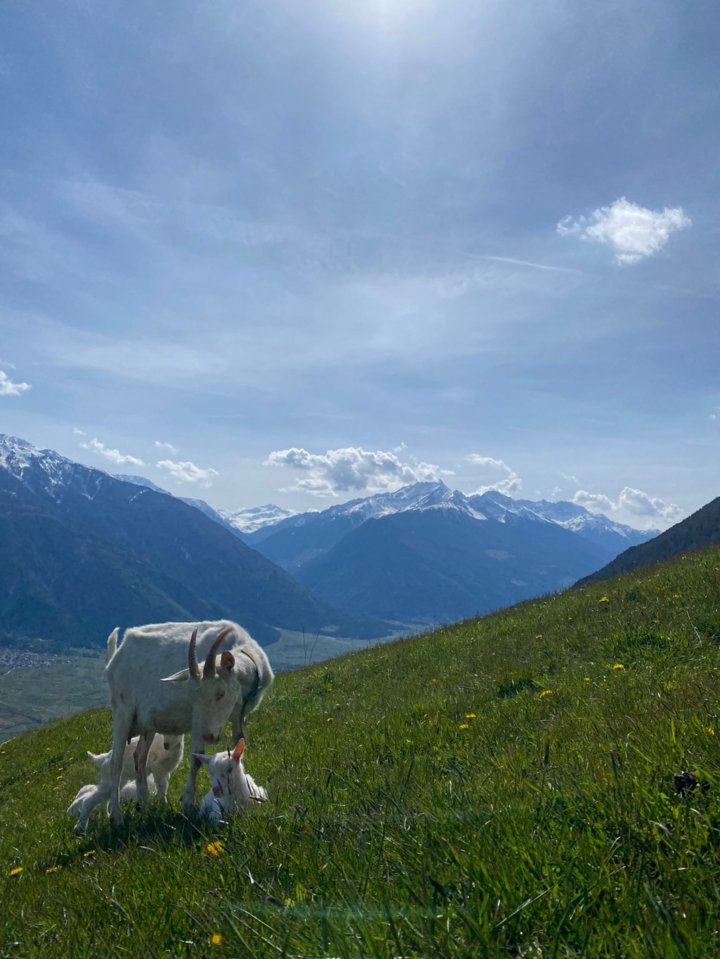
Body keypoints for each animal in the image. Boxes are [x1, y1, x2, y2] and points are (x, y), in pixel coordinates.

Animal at [105, 619, 273, 825]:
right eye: (192, 696)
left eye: (220, 693)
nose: (209, 736)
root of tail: (116, 656)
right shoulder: (197, 721)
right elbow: (196, 757)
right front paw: (187, 803)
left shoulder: (237, 716)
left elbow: (237, 743)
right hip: (122, 711)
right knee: (116, 762)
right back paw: (117, 817)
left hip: (146, 724)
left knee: (140, 756)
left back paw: (145, 806)